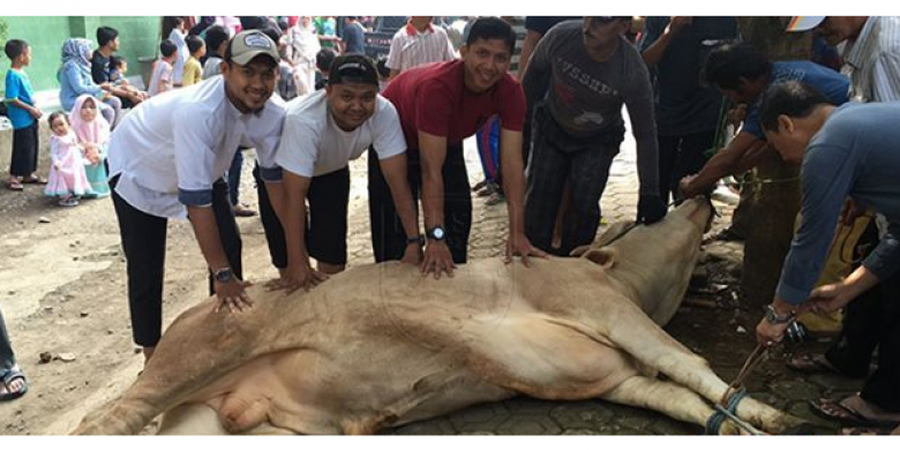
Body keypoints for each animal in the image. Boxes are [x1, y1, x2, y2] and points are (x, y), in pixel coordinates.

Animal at [72, 199, 808, 434]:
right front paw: (768, 412)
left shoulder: (615, 376)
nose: (700, 198)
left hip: (226, 419)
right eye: (647, 219)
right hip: (197, 355)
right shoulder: (597, 306)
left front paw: (736, 424)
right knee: (107, 419)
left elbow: (679, 398)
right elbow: (686, 361)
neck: (632, 286)